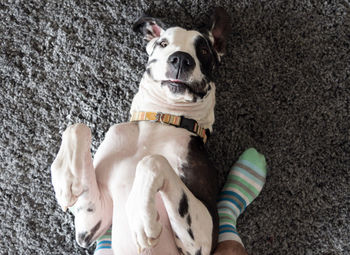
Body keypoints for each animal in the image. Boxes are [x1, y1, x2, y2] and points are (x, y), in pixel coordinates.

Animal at [51, 6, 232, 254]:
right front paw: (67, 180)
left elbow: (152, 161)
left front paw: (141, 216)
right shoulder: (91, 225)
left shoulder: (204, 239)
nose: (181, 59)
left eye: (203, 50)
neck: (162, 120)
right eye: (163, 43)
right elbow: (77, 126)